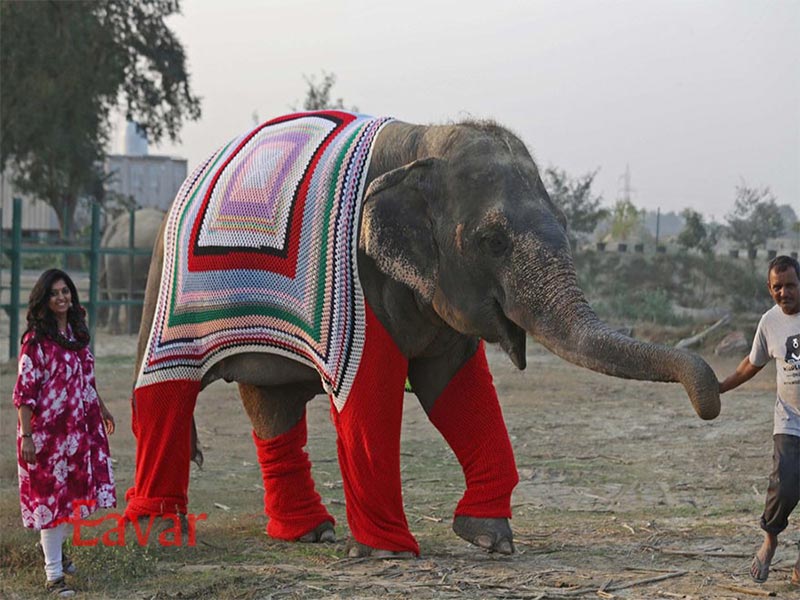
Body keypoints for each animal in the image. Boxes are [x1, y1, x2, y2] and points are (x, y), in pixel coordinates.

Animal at [125, 110, 720, 560]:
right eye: (493, 241)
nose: (709, 402)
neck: (422, 139)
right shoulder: (362, 280)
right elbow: (369, 394)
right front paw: (388, 552)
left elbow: (459, 390)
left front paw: (491, 540)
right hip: (167, 287)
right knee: (165, 389)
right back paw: (155, 532)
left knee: (273, 404)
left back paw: (309, 533)